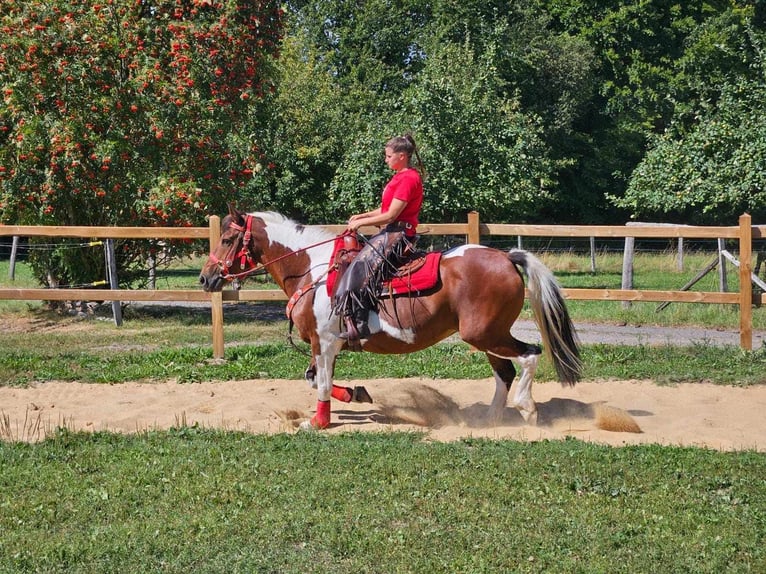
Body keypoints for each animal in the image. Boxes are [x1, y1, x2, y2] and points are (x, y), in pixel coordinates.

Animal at [198, 207, 584, 432]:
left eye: (228, 238)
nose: (205, 278)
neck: (313, 269)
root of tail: (506, 258)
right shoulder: (327, 345)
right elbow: (315, 380)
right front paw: (356, 394)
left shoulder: (324, 342)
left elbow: (319, 384)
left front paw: (318, 423)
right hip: (488, 336)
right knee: (504, 371)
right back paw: (489, 420)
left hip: (485, 335)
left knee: (529, 355)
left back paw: (526, 409)